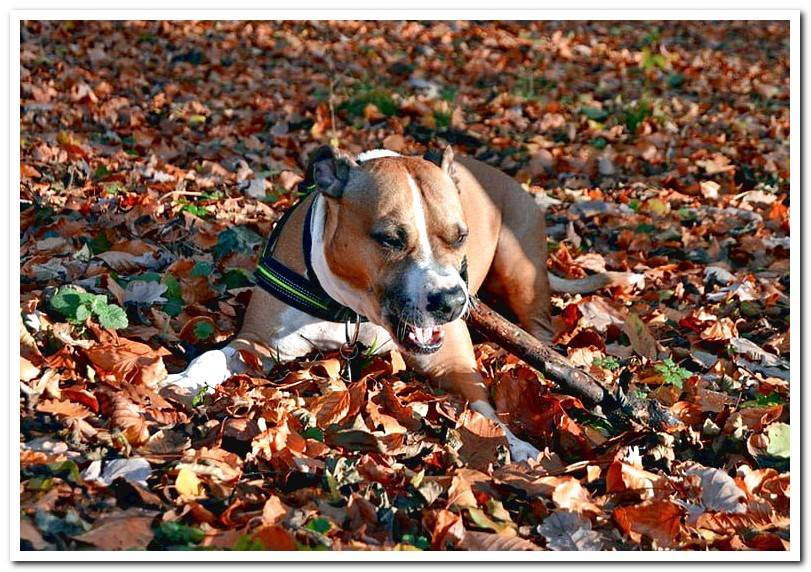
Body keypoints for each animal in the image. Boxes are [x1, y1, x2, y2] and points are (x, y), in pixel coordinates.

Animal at [167, 145, 640, 462]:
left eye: (461, 236)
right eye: (390, 239)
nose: (451, 301)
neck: (354, 311)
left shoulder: (452, 362)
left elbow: (485, 412)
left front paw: (518, 446)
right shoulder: (258, 342)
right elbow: (214, 356)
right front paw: (185, 381)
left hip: (521, 268)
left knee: (539, 327)